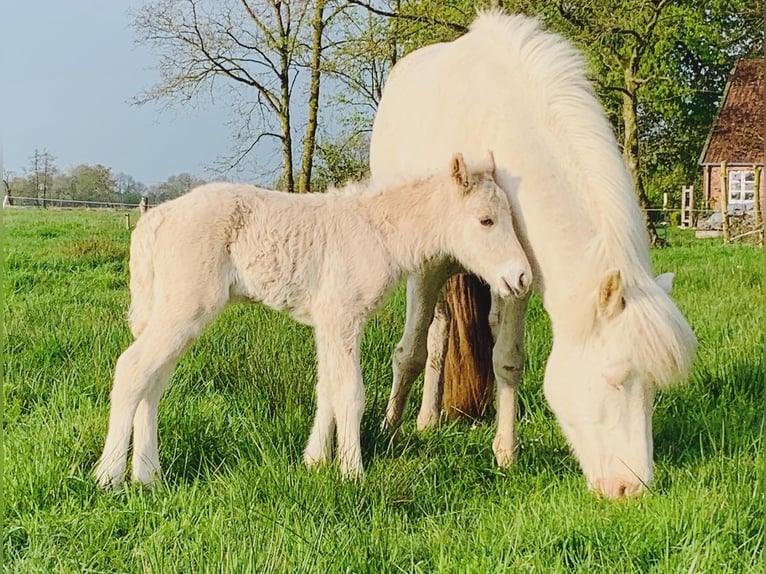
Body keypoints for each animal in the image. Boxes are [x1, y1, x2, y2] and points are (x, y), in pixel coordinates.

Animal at [94, 154, 536, 490]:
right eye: (485, 220)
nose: (521, 277)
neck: (375, 231)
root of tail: (155, 220)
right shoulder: (343, 317)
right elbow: (350, 393)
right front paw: (352, 473)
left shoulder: (326, 321)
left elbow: (326, 388)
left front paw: (314, 462)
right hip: (185, 309)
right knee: (132, 368)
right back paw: (109, 477)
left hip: (173, 312)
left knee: (154, 382)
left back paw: (148, 477)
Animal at [368, 12, 700, 500]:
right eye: (614, 379)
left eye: (654, 388)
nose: (630, 490)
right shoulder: (427, 267)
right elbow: (408, 351)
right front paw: (387, 433)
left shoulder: (519, 278)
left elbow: (507, 358)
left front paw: (506, 452)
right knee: (436, 331)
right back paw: (423, 420)